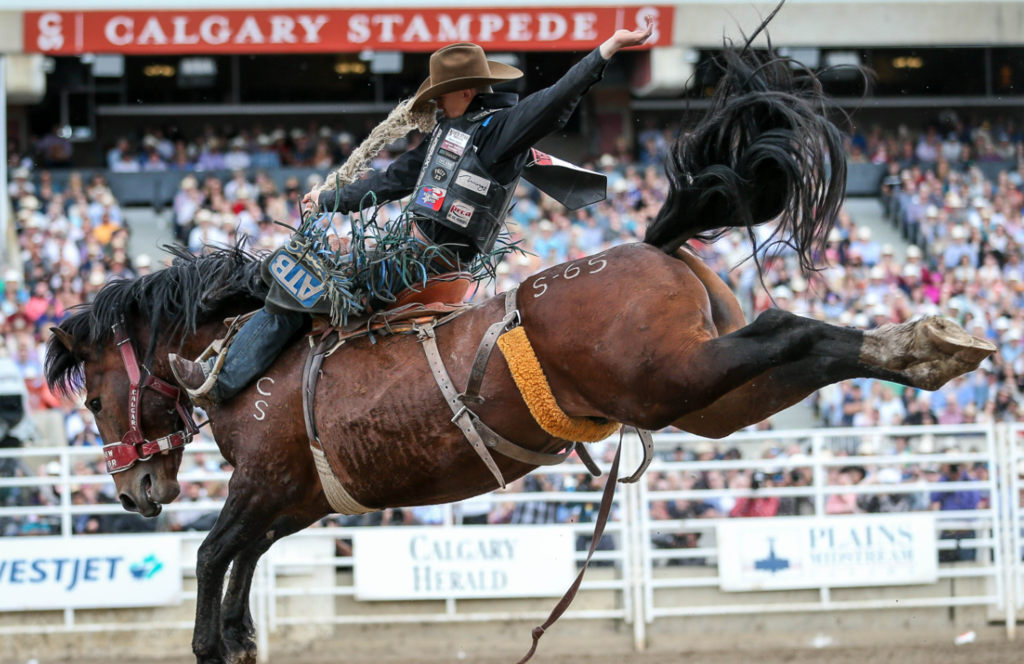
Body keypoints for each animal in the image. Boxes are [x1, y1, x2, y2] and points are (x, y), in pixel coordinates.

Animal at [46, 32, 991, 664]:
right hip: (708, 396)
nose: (133, 490)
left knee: (789, 328)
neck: (250, 355)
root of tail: (650, 246)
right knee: (802, 348)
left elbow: (213, 558)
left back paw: (930, 345)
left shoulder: (264, 483)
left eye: (91, 396)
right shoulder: (296, 500)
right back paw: (926, 347)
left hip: (676, 376)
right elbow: (243, 571)